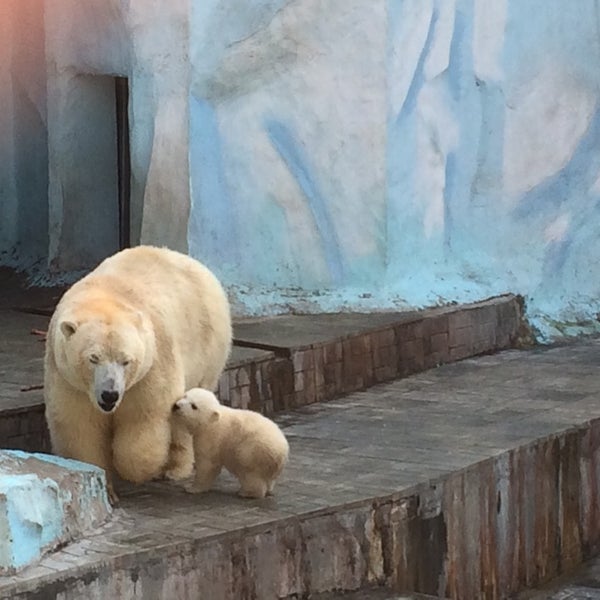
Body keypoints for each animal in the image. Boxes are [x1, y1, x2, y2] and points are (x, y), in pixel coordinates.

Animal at [44, 244, 232, 502]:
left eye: (126, 361)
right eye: (93, 358)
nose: (110, 395)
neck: (104, 296)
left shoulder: (152, 364)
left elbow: (143, 421)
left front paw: (131, 469)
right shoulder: (68, 380)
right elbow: (80, 428)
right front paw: (107, 487)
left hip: (208, 347)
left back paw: (175, 468)